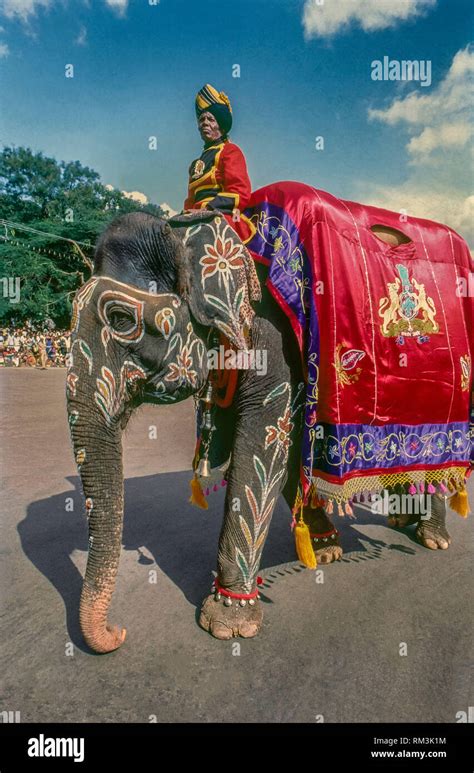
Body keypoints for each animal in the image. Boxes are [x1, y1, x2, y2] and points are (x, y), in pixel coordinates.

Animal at [65, 181, 470, 652]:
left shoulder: (272, 339)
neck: (199, 230)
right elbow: (288, 447)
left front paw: (228, 624)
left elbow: (264, 442)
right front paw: (324, 549)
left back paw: (433, 538)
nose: (118, 633)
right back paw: (401, 518)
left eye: (120, 319)